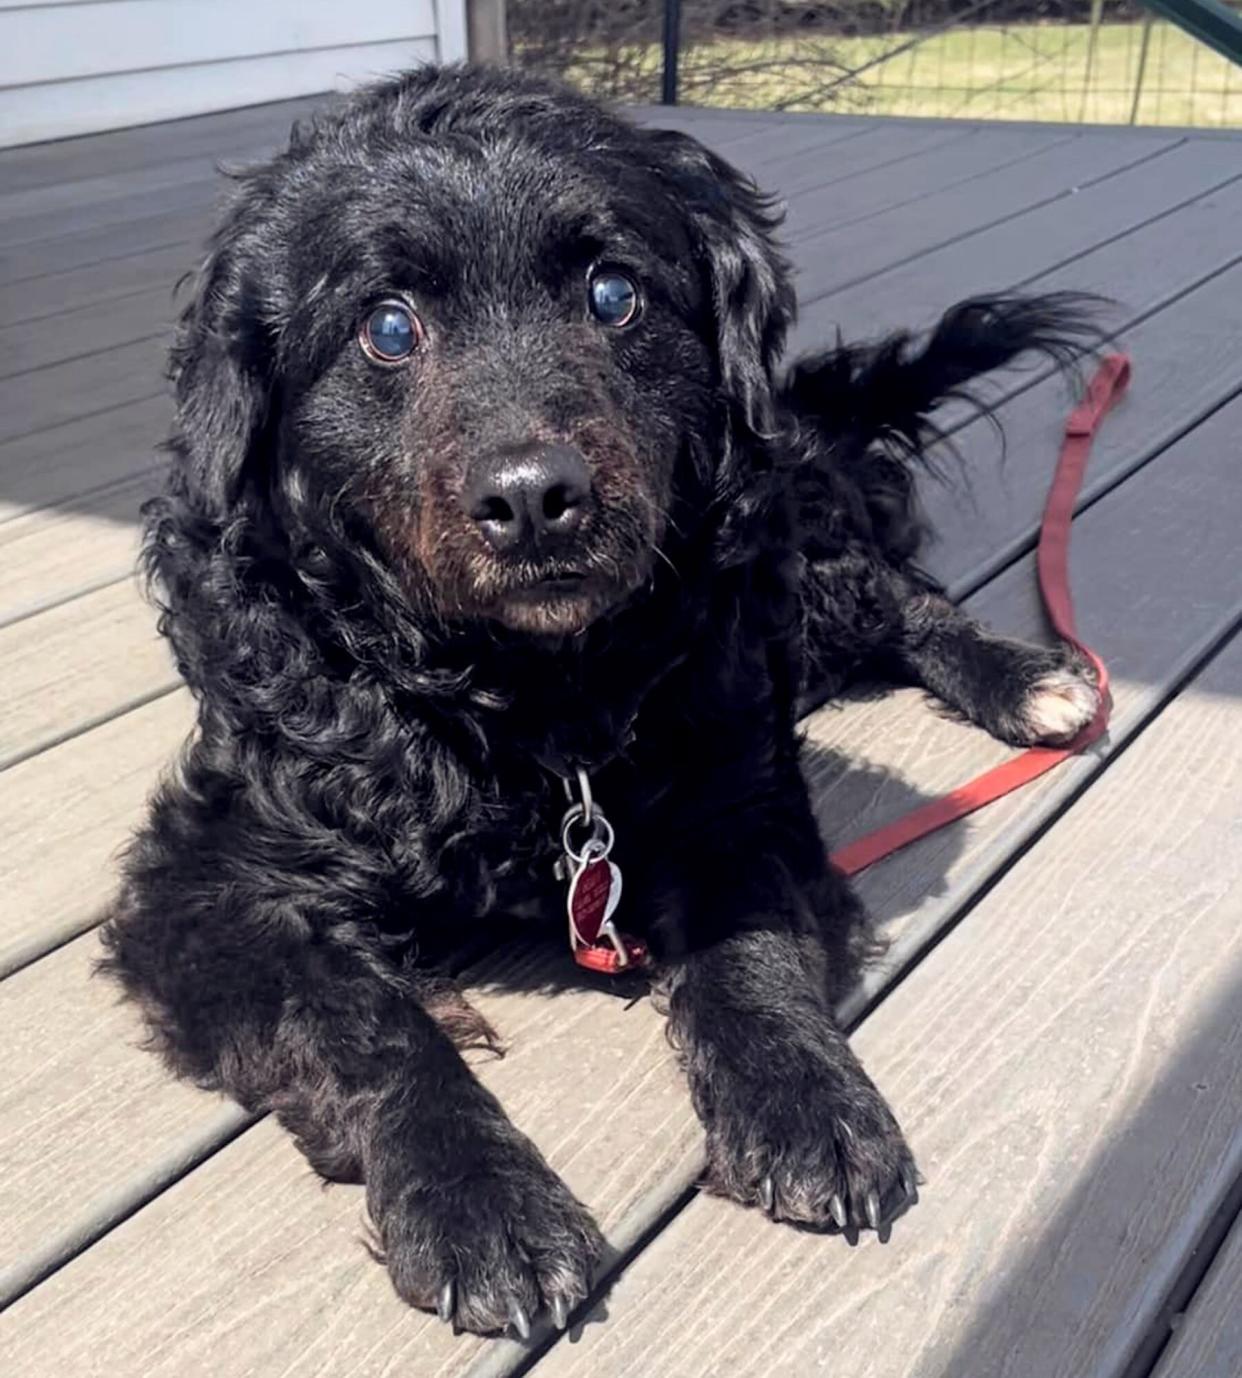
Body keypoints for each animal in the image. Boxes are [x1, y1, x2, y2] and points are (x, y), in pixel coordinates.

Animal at [102, 64, 1102, 1333]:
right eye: (388, 327)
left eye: (614, 293)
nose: (535, 496)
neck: (526, 706)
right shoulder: (210, 887)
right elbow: (373, 1027)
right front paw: (478, 1197)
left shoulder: (736, 800)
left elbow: (746, 950)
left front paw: (804, 1095)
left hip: (796, 563)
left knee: (899, 598)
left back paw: (1028, 681)